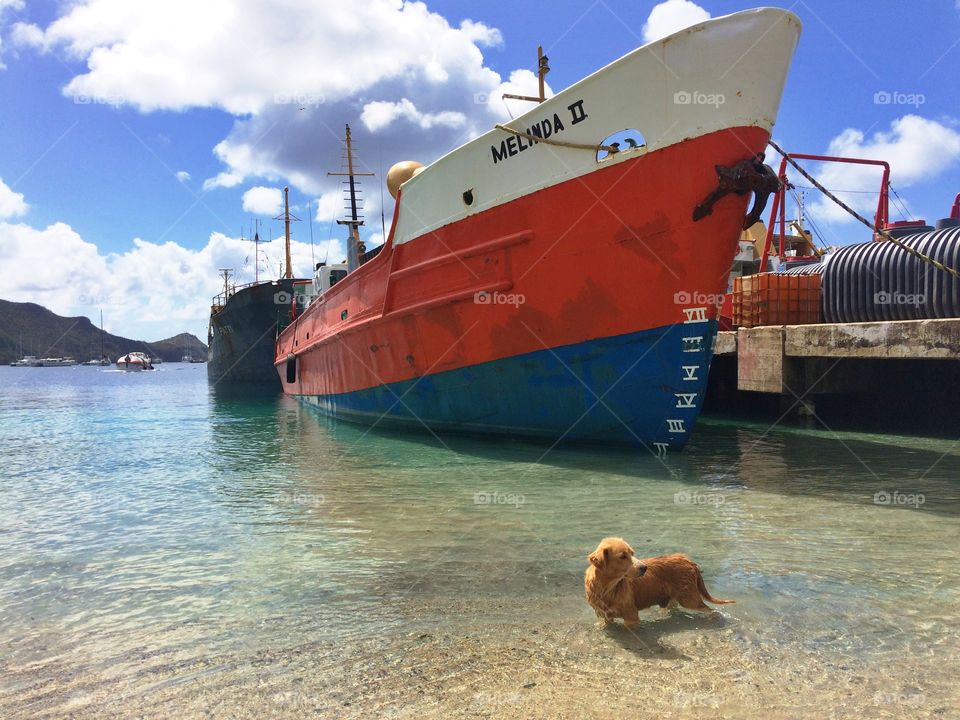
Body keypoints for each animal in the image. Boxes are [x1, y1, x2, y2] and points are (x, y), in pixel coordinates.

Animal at [584, 536, 736, 624]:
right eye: (622, 556)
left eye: (632, 553)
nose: (644, 568)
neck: (606, 587)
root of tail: (688, 560)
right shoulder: (603, 615)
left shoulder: (631, 616)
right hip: (674, 599)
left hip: (689, 599)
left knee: (711, 610)